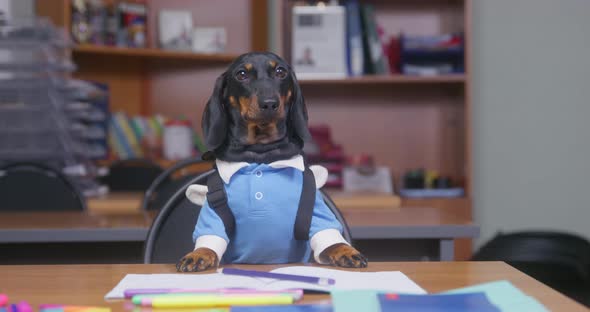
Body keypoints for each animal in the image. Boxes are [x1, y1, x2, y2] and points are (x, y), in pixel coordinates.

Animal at [177, 51, 370, 270]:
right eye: (241, 74)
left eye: (280, 72)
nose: (269, 103)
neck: (261, 155)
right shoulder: (213, 212)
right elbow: (209, 238)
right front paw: (199, 253)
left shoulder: (315, 207)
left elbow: (330, 237)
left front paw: (345, 250)